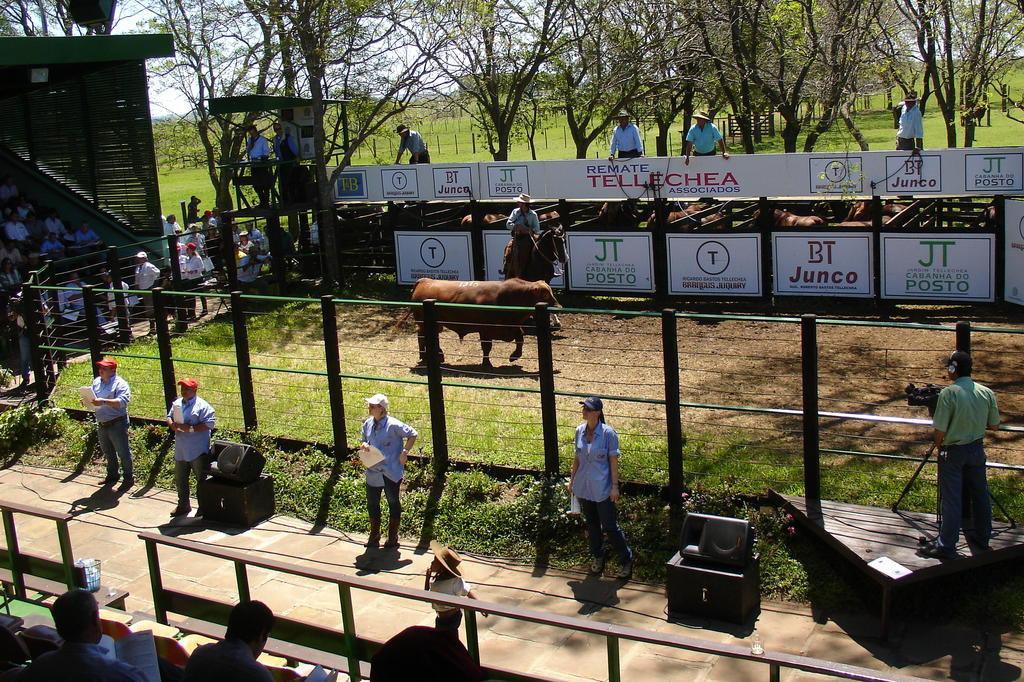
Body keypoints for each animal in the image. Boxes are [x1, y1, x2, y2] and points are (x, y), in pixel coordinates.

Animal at [409, 276, 561, 366]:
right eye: (545, 294)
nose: (559, 306)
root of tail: (425, 281)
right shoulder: (485, 329)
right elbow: (487, 346)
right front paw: (487, 363)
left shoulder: (512, 326)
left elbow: (520, 338)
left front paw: (514, 356)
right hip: (423, 324)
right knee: (422, 337)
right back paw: (425, 357)